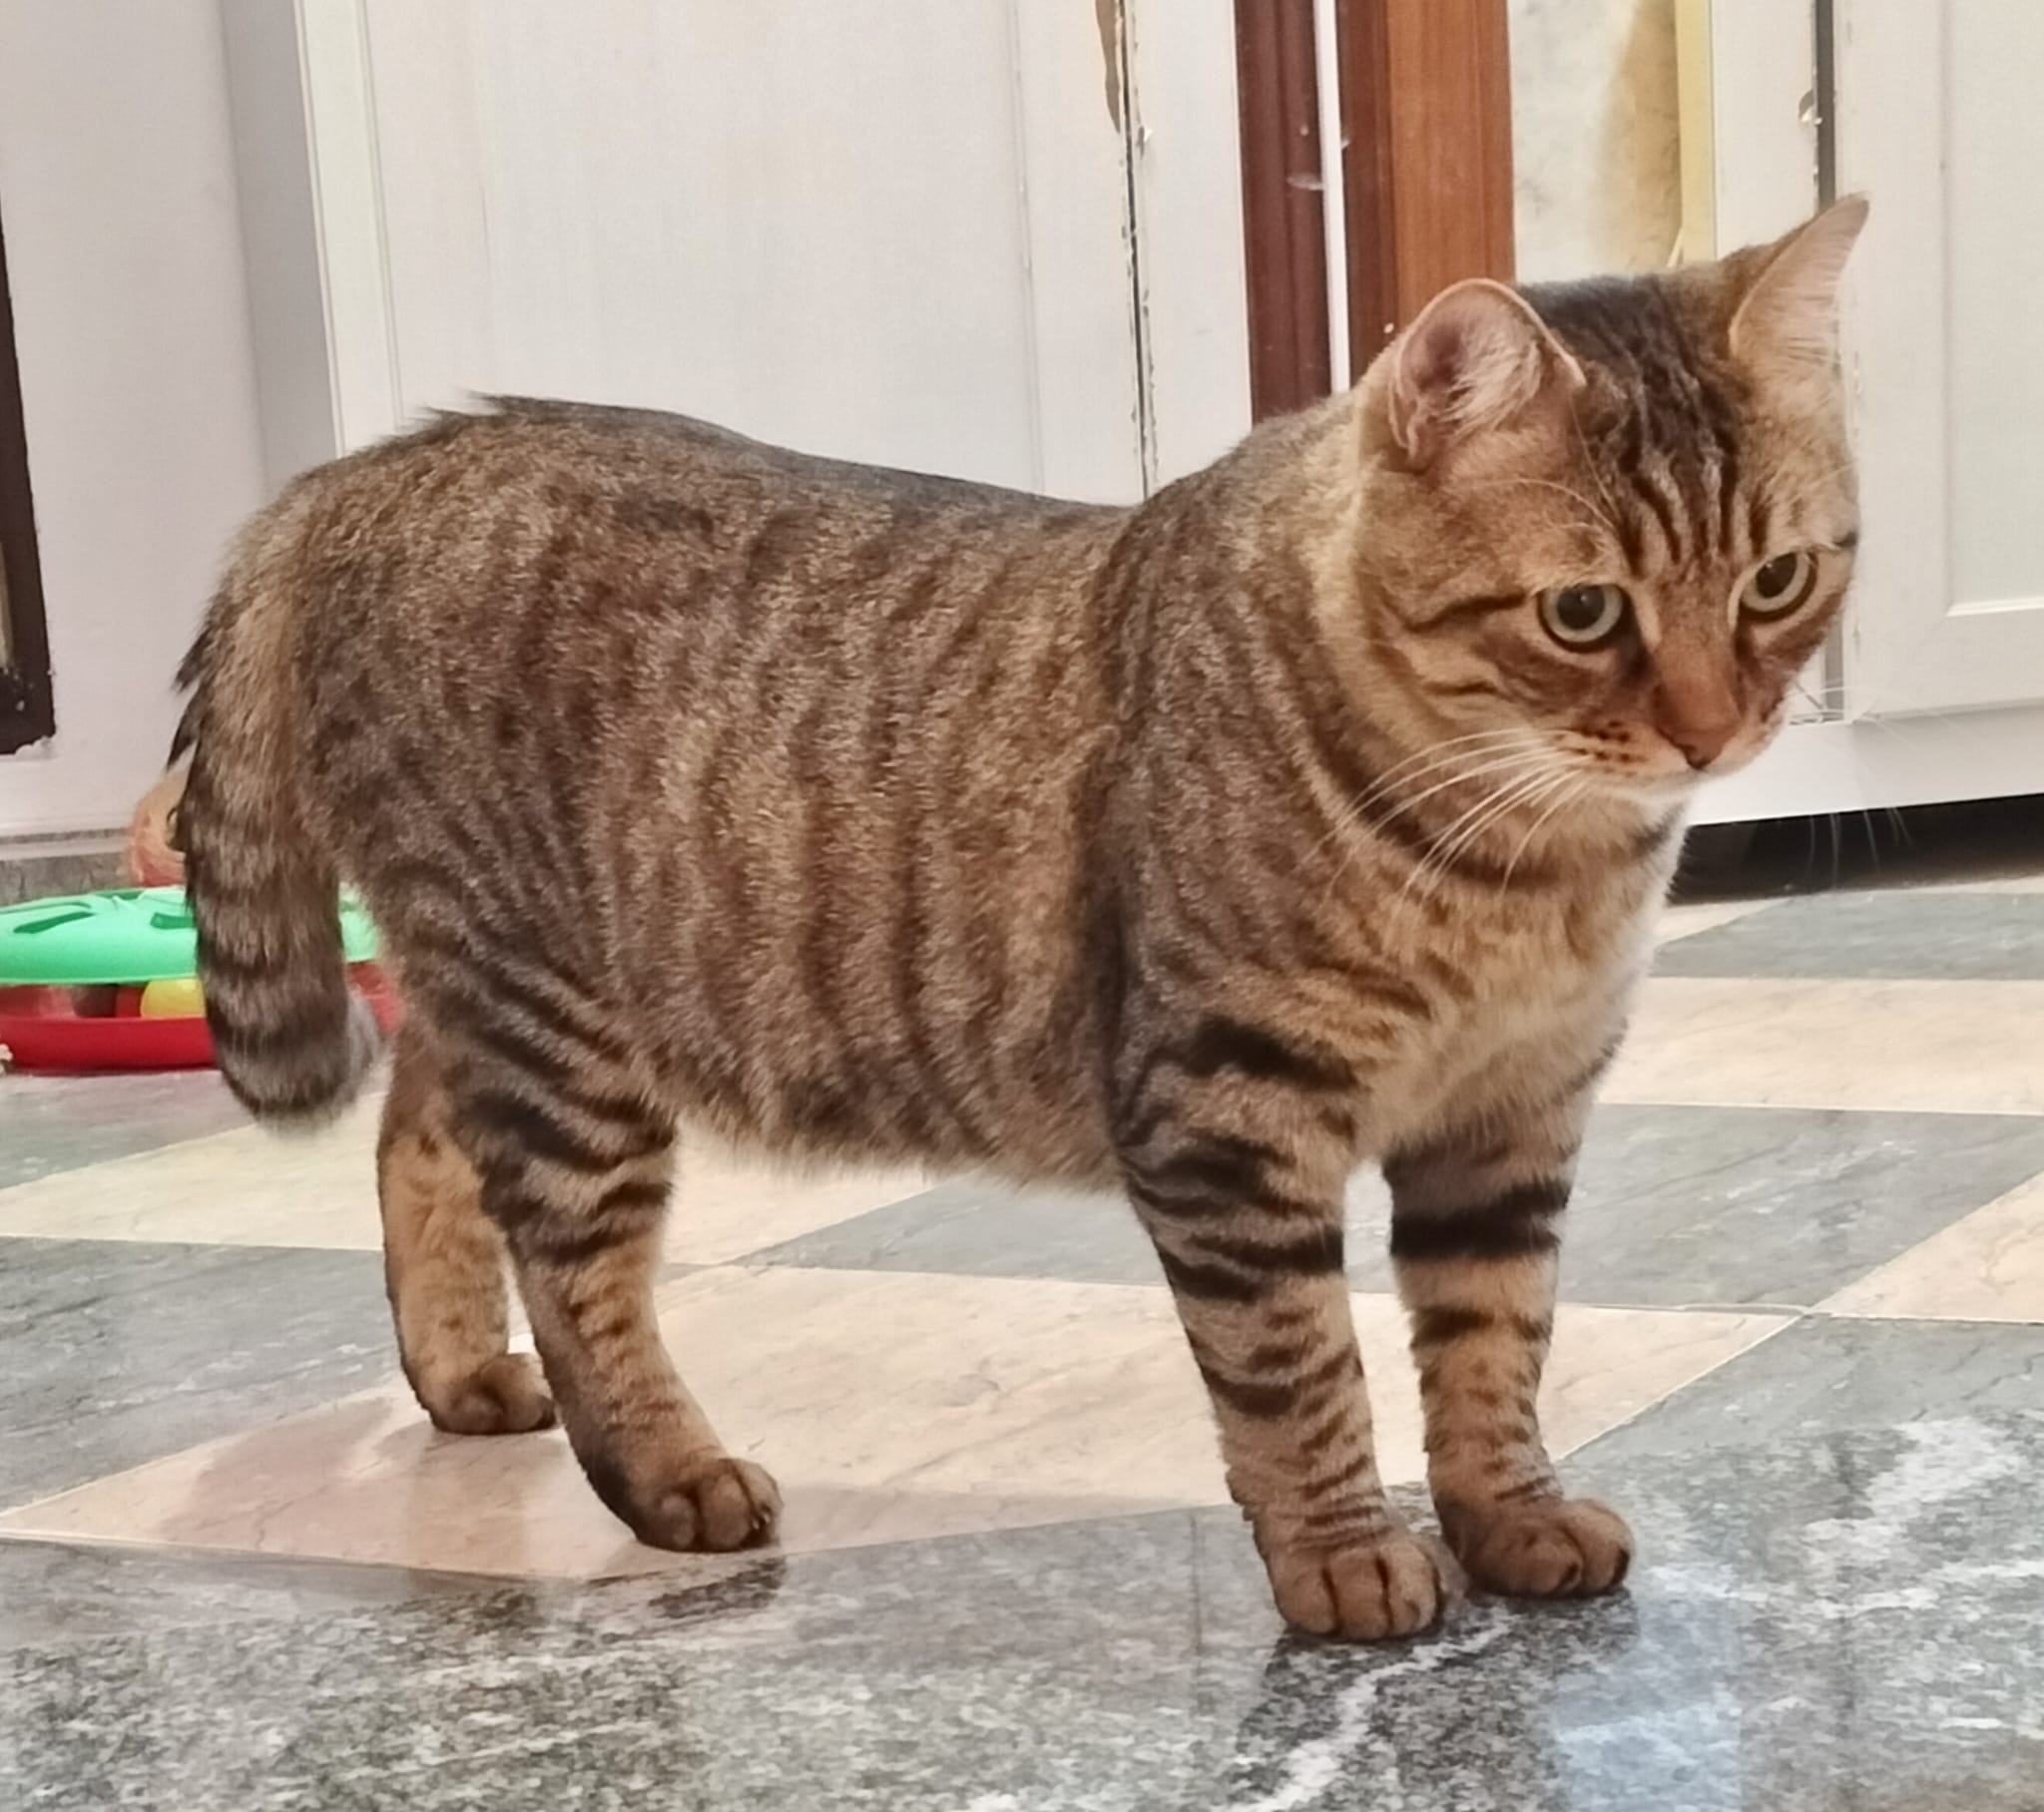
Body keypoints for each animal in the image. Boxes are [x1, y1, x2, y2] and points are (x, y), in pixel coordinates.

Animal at [173, 198, 1865, 1641]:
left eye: (1780, 580)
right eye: (1583, 612)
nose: (1715, 733)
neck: (1534, 872)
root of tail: (362, 468)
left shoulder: (1512, 1120)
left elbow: (1494, 1346)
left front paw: (1509, 1515)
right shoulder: (1226, 1111)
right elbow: (1299, 1368)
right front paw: (1343, 1554)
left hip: (508, 1001)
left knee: (419, 1134)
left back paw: (461, 1375)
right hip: (562, 1018)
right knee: (569, 1261)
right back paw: (665, 1471)